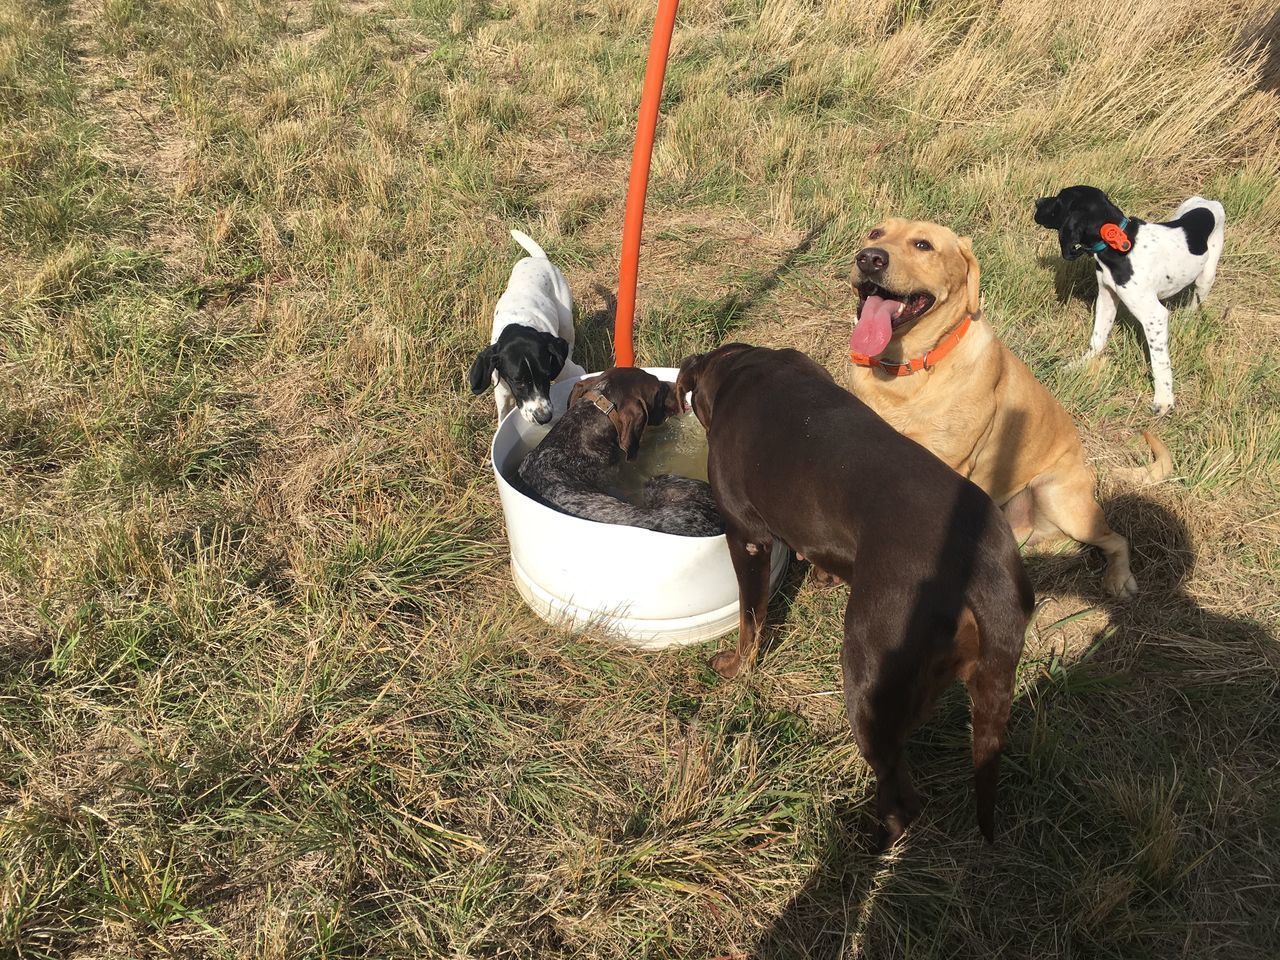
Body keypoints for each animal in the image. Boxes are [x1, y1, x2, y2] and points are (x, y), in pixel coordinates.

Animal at [468, 229, 586, 424]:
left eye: (546, 374)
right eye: (518, 382)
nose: (544, 418)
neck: (518, 326)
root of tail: (539, 259)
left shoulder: (572, 371)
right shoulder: (503, 394)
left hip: (566, 320)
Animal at [675, 345, 1034, 849]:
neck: (745, 368)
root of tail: (983, 572)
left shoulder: (747, 537)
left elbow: (751, 616)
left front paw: (734, 668)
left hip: (867, 675)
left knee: (900, 794)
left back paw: (866, 842)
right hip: (984, 682)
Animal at [844, 216, 1167, 601]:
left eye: (923, 245)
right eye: (875, 233)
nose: (869, 258)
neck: (908, 368)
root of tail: (1089, 468)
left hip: (1057, 497)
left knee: (1116, 539)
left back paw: (1118, 578)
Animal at [1034, 185, 1223, 414]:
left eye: (1059, 200)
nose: (1036, 202)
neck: (1117, 246)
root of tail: (1209, 202)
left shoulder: (1154, 316)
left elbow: (1160, 361)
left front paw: (1164, 399)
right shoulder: (1106, 298)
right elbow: (1097, 338)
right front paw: (1081, 364)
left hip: (1206, 278)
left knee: (1196, 301)